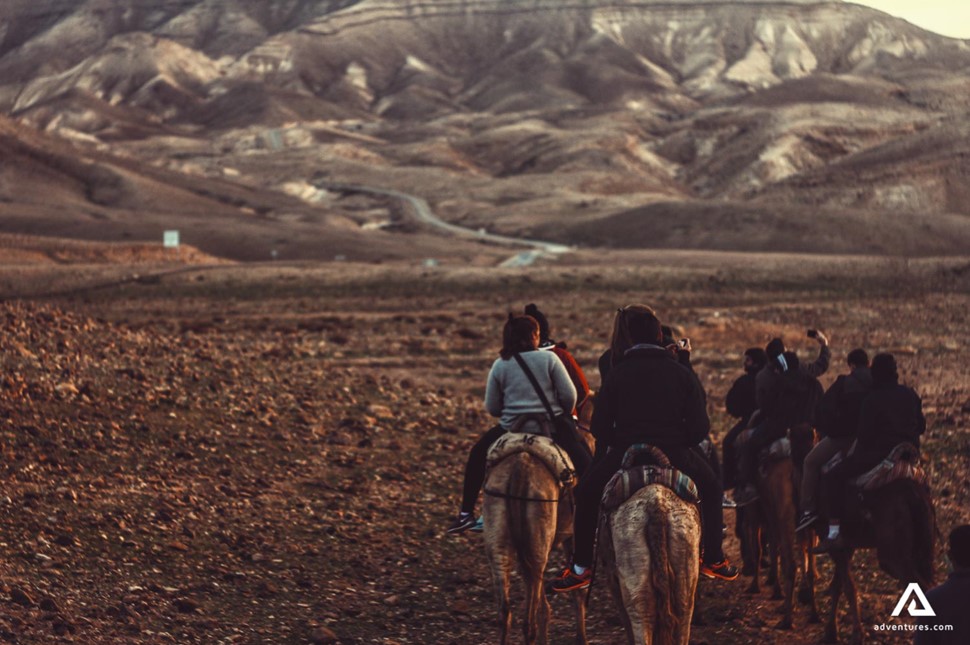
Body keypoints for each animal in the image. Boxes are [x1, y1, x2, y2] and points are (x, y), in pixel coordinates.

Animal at [480, 430, 588, 644]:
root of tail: (520, 467)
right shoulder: (572, 535)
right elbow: (577, 591)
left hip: (499, 541)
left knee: (505, 611)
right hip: (538, 545)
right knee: (529, 621)